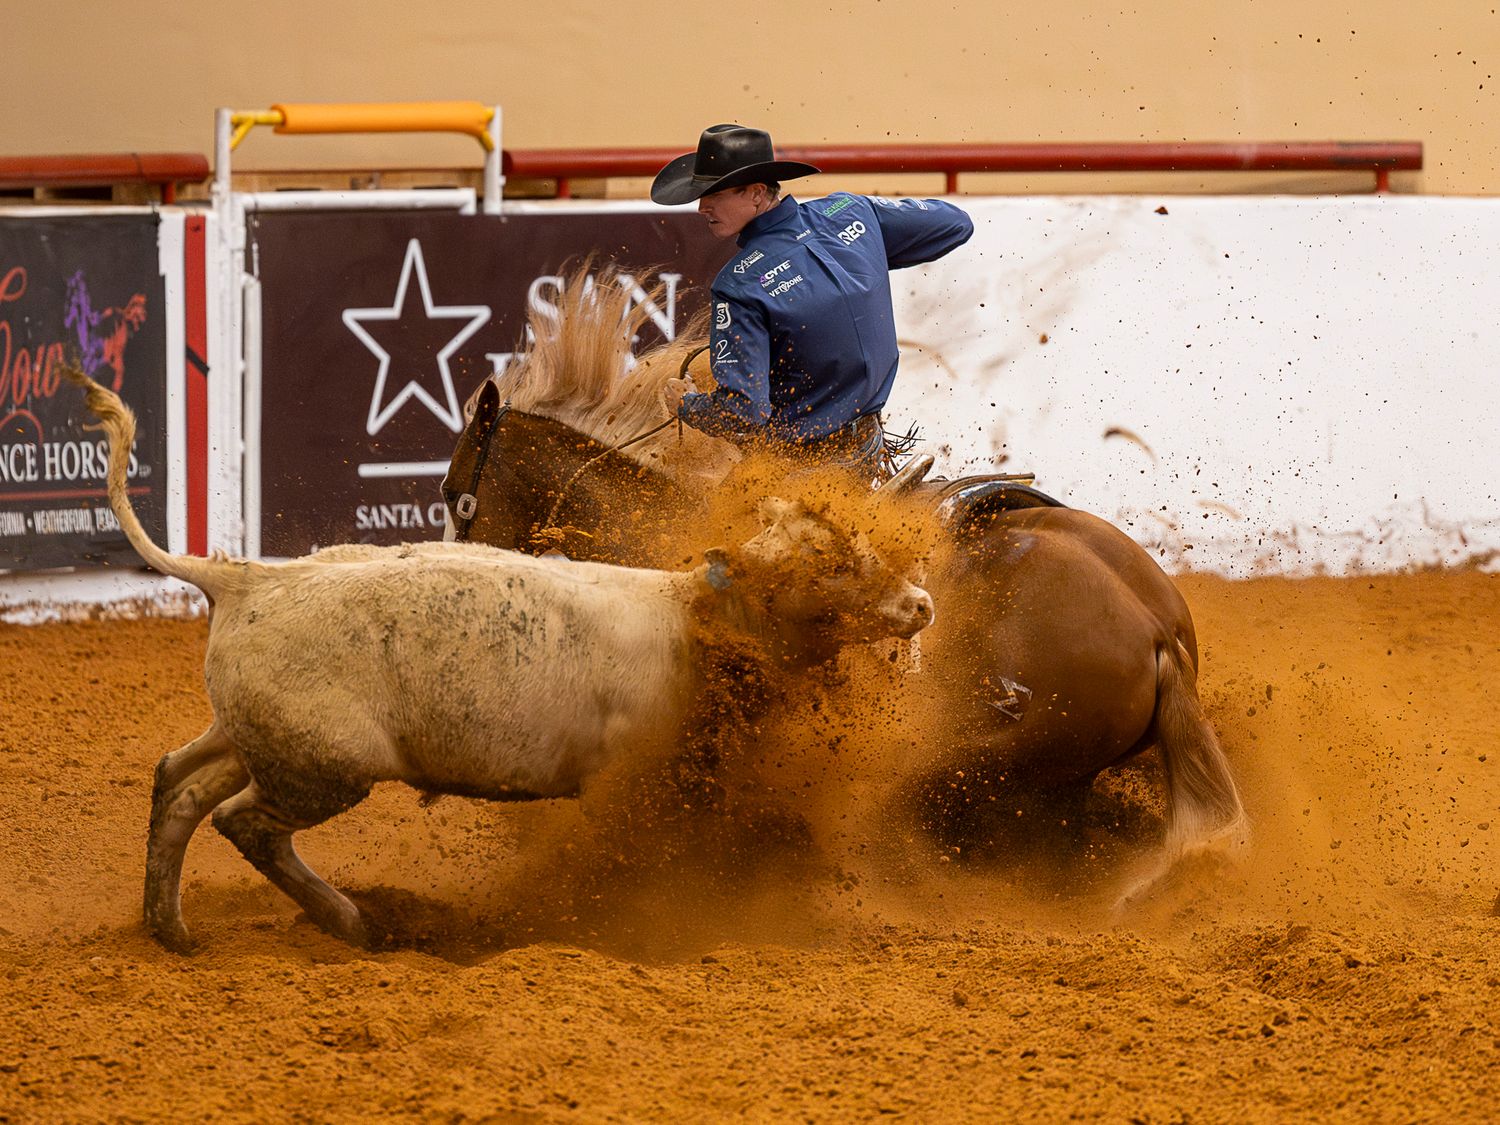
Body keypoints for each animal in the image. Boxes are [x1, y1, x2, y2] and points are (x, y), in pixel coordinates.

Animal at [69, 370, 933, 952]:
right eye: (830, 568)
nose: (922, 602)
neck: (691, 614)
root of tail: (243, 576)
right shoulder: (633, 788)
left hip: (256, 736)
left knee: (178, 784)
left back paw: (170, 927)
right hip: (318, 765)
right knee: (243, 823)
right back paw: (351, 921)